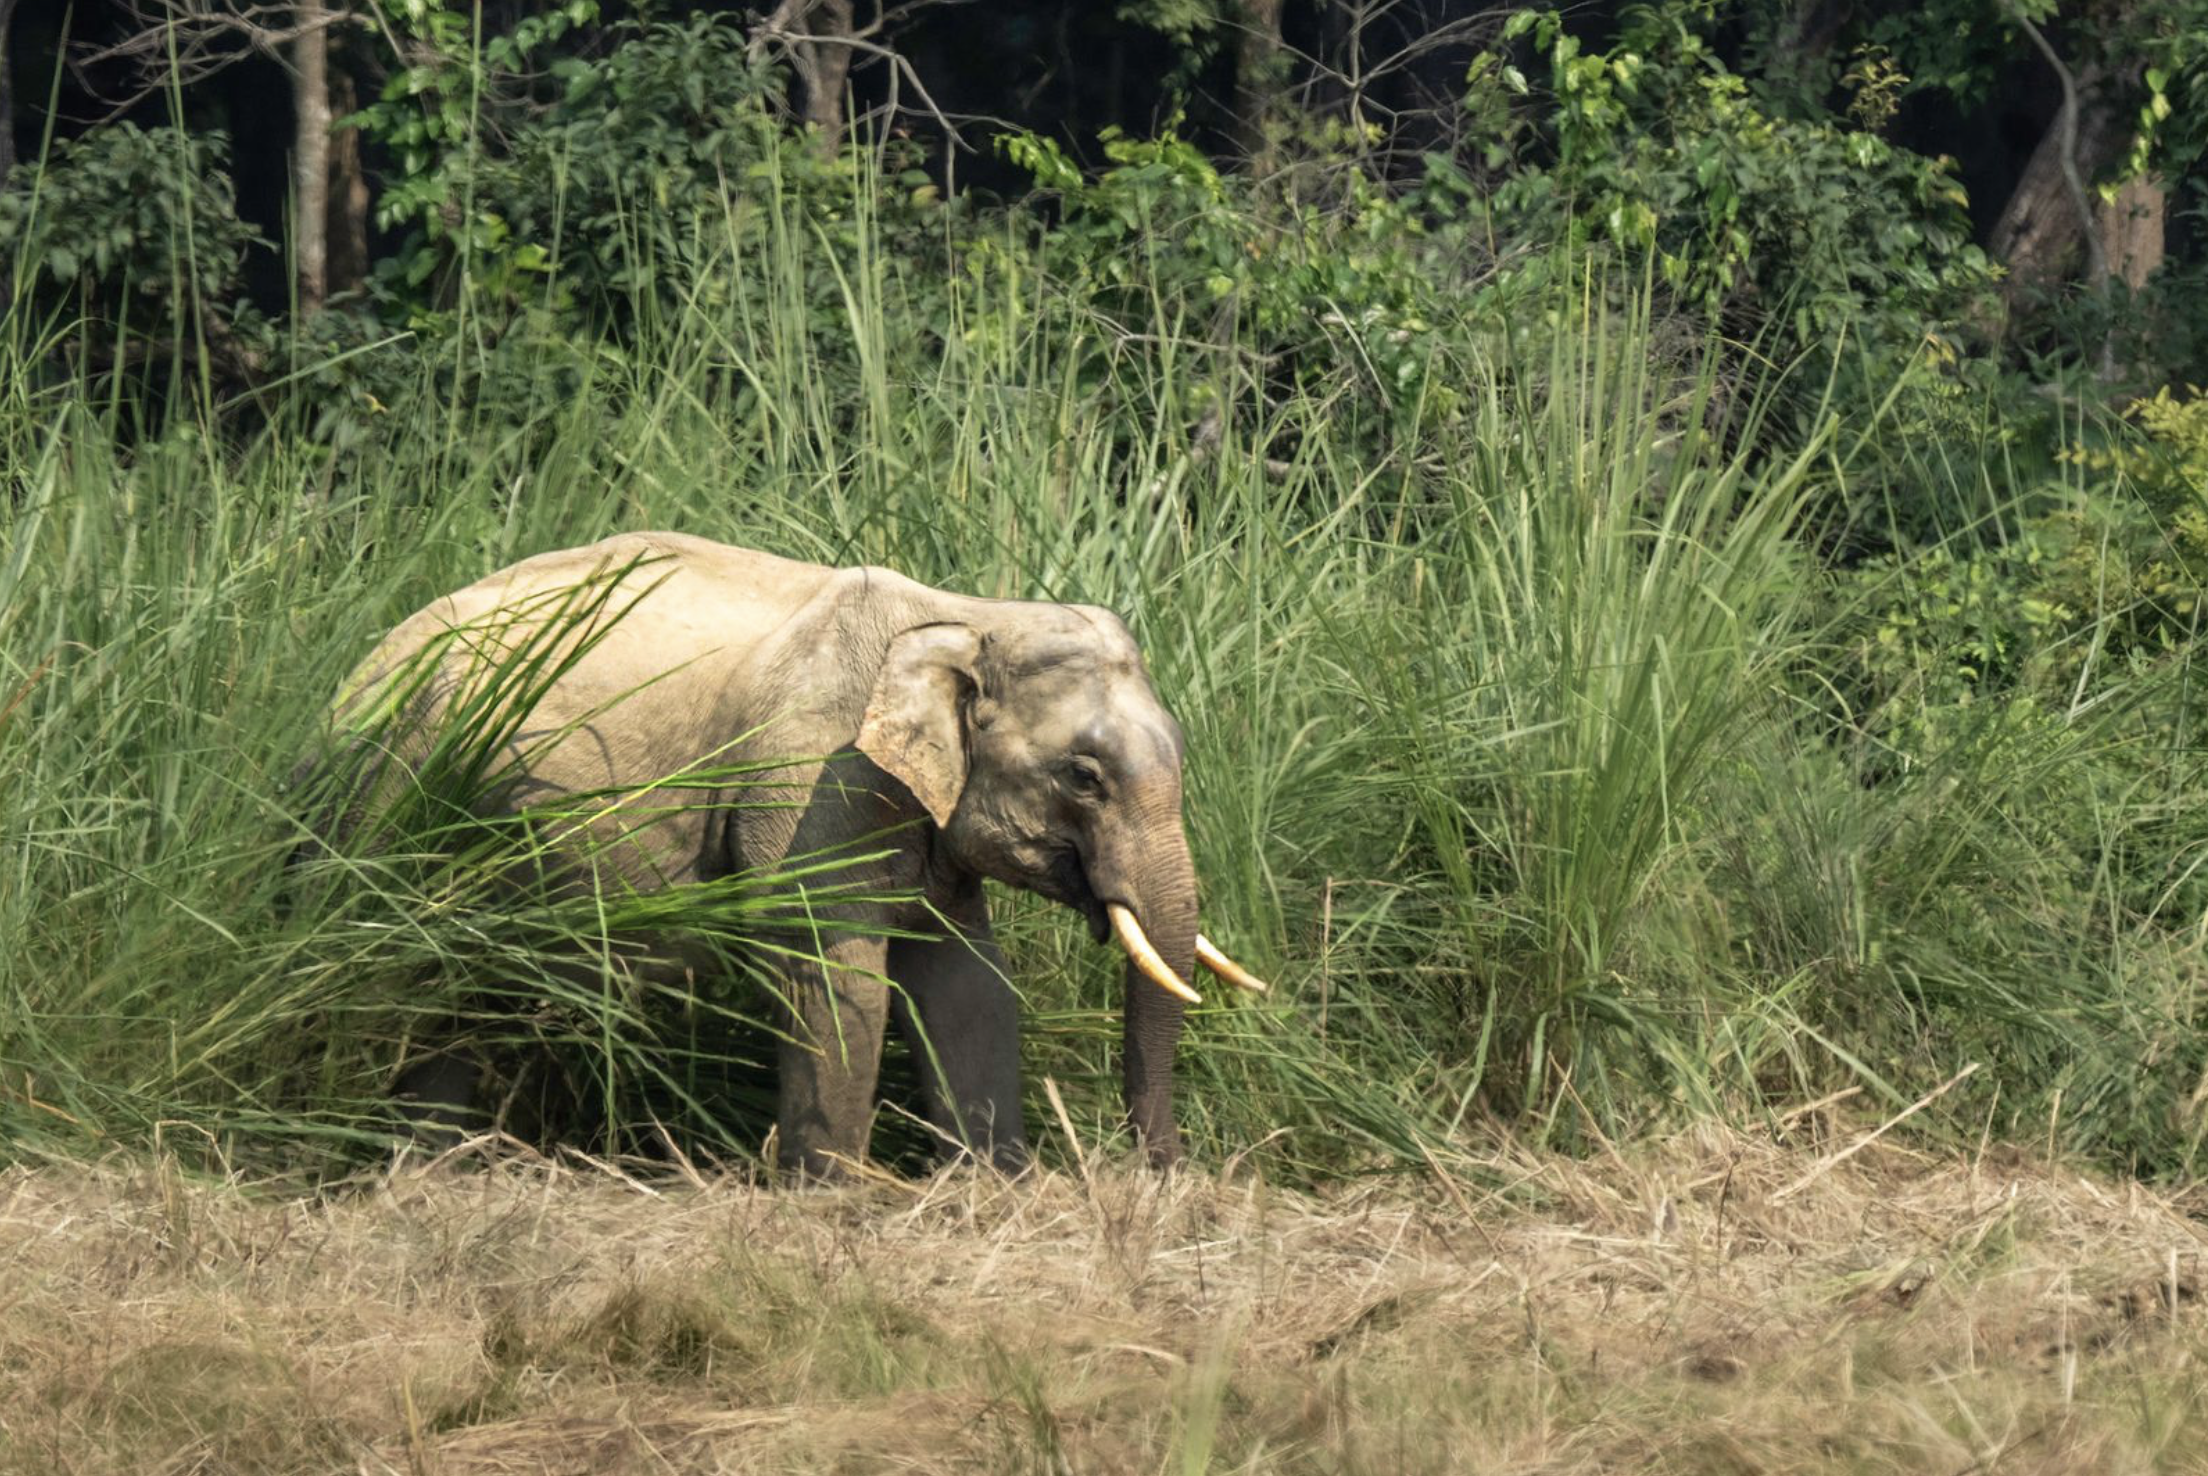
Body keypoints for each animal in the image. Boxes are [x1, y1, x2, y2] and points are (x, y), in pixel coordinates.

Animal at [327, 532, 1267, 1174]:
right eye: (1083, 777)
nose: (1166, 1174)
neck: (962, 618)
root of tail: (354, 673)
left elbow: (967, 985)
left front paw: (994, 1187)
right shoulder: (814, 773)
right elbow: (836, 975)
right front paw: (833, 1199)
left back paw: (437, 1168)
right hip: (392, 797)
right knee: (408, 976)